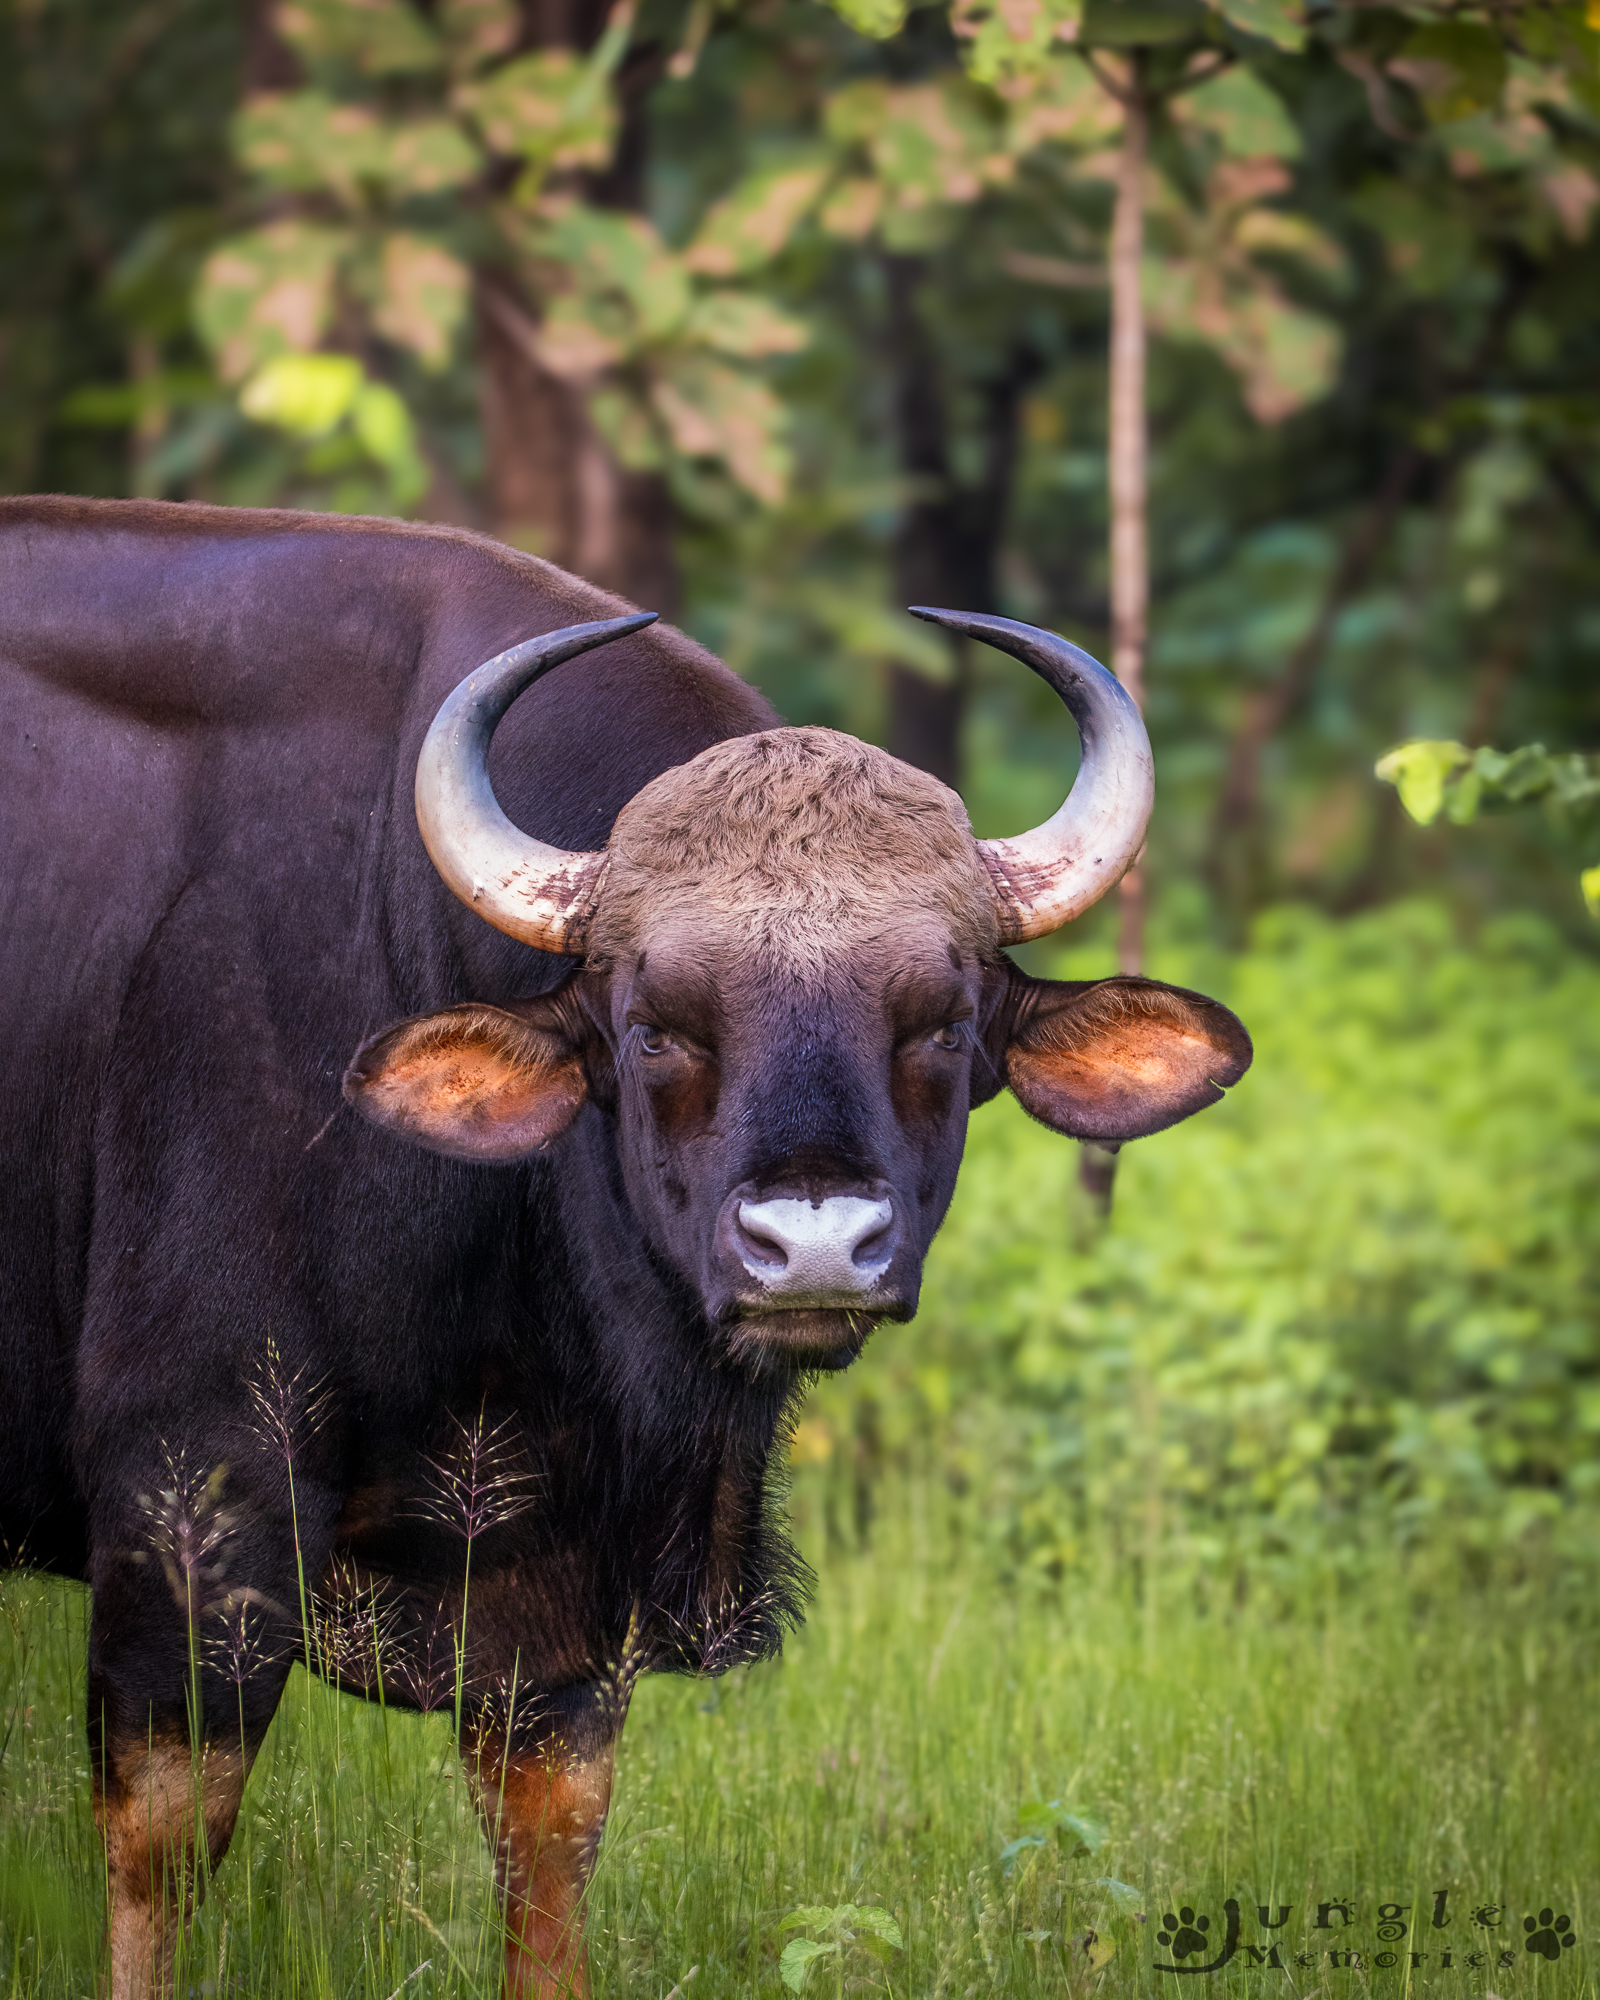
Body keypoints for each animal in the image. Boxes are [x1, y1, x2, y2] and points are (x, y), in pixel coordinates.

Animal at [0, 495, 1250, 1999]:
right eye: (654, 1024)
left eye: (945, 1021)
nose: (812, 1246)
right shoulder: (188, 1505)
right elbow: (162, 1855)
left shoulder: (559, 1619)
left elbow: (548, 1860)